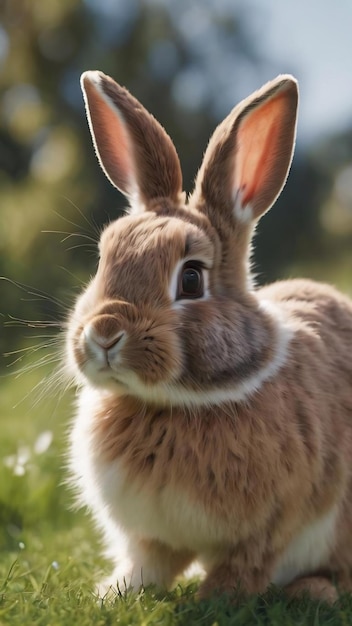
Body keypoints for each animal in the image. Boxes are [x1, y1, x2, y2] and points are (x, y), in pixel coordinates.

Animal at [66, 68, 352, 600]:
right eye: (103, 259)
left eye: (192, 279)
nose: (105, 331)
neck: (173, 403)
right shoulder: (150, 534)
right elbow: (147, 563)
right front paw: (114, 594)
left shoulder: (274, 524)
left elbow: (245, 567)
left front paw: (214, 598)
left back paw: (312, 591)